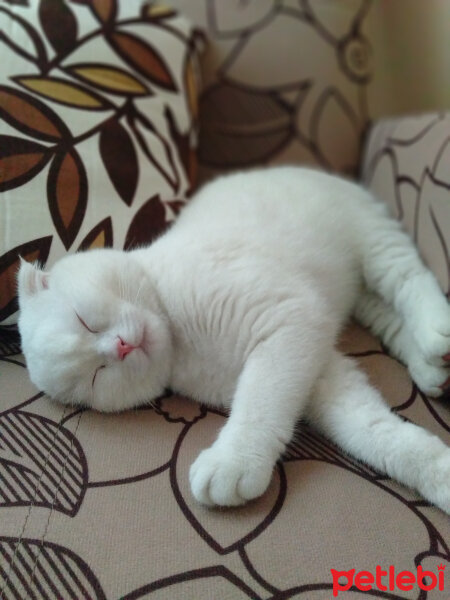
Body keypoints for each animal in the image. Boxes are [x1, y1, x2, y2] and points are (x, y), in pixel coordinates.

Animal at [16, 168, 450, 510]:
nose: (119, 347)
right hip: (361, 296)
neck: (181, 343)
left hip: (373, 242)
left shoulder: (288, 323)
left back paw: (437, 333)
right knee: (391, 318)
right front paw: (439, 474)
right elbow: (373, 431)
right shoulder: (317, 368)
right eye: (95, 374)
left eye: (84, 321)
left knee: (410, 279)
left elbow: (258, 403)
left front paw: (233, 462)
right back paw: (432, 369)